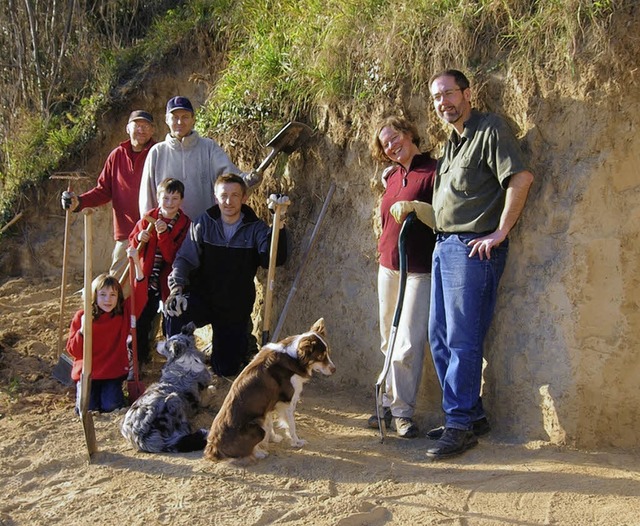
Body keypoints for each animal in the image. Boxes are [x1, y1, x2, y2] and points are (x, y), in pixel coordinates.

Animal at [119, 324, 211, 456]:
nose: (156, 344)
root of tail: (141, 438)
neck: (186, 355)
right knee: (183, 431)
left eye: (166, 345)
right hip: (174, 399)